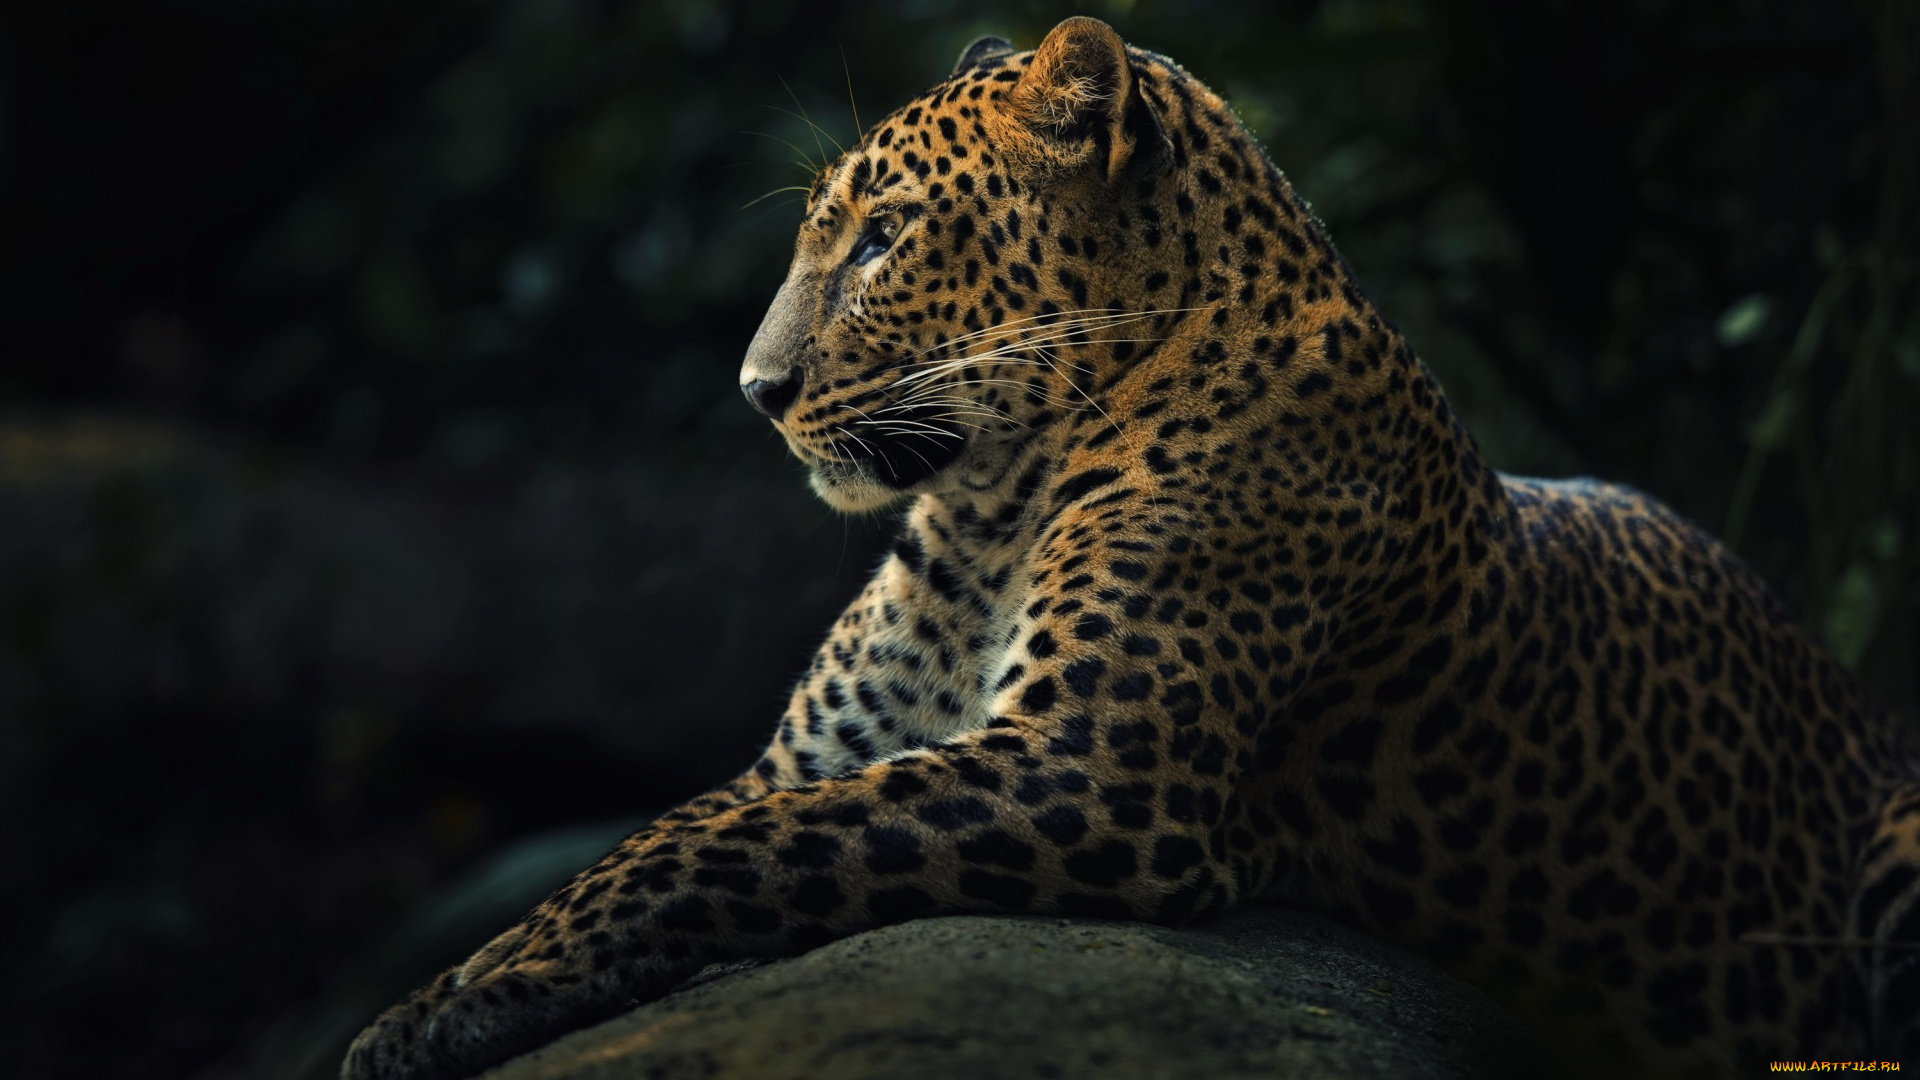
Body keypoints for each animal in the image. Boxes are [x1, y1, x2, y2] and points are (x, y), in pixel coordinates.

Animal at [343, 18, 1920, 1079]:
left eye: (882, 238)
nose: (756, 392)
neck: (987, 507)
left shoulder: (1090, 774)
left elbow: (711, 846)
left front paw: (449, 1006)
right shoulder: (816, 753)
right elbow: (672, 835)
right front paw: (446, 992)